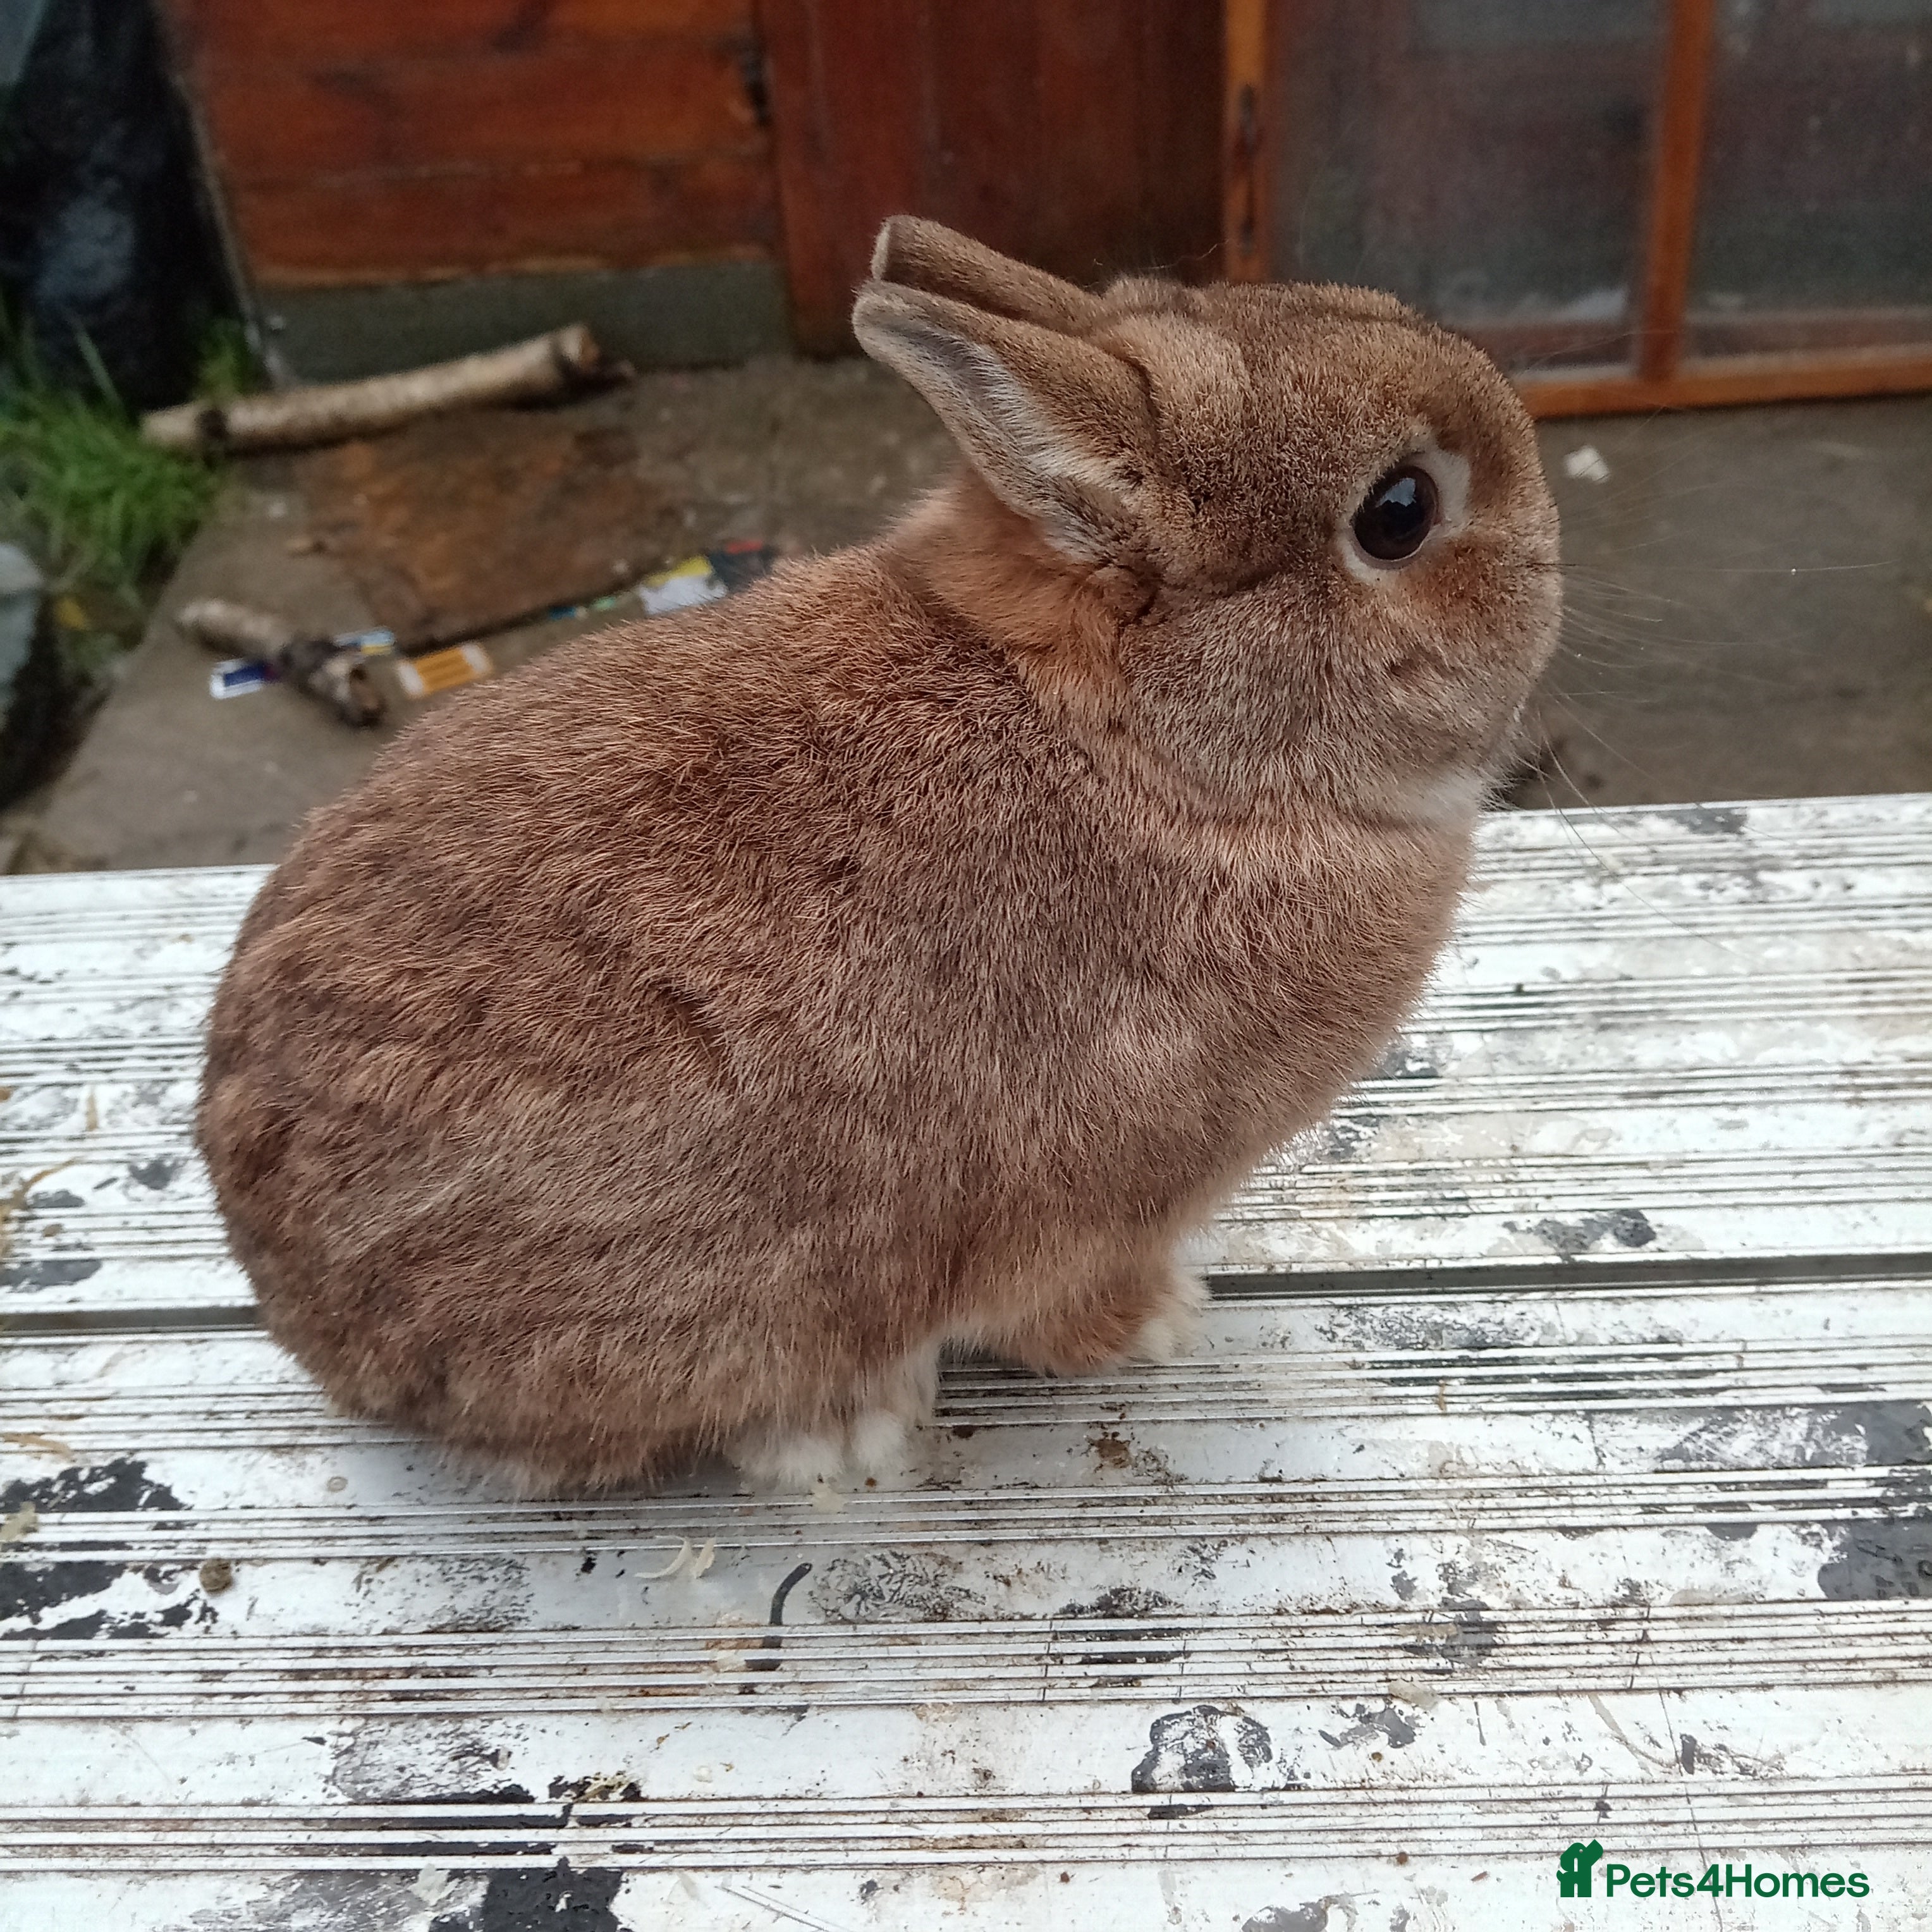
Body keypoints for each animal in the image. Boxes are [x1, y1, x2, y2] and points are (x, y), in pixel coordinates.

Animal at [197, 217, 1560, 1494]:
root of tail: (315, 1329)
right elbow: (1052, 1302)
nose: (1552, 555)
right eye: (1399, 513)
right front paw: (1157, 1325)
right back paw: (842, 1433)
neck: (1162, 754)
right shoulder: (1084, 1203)